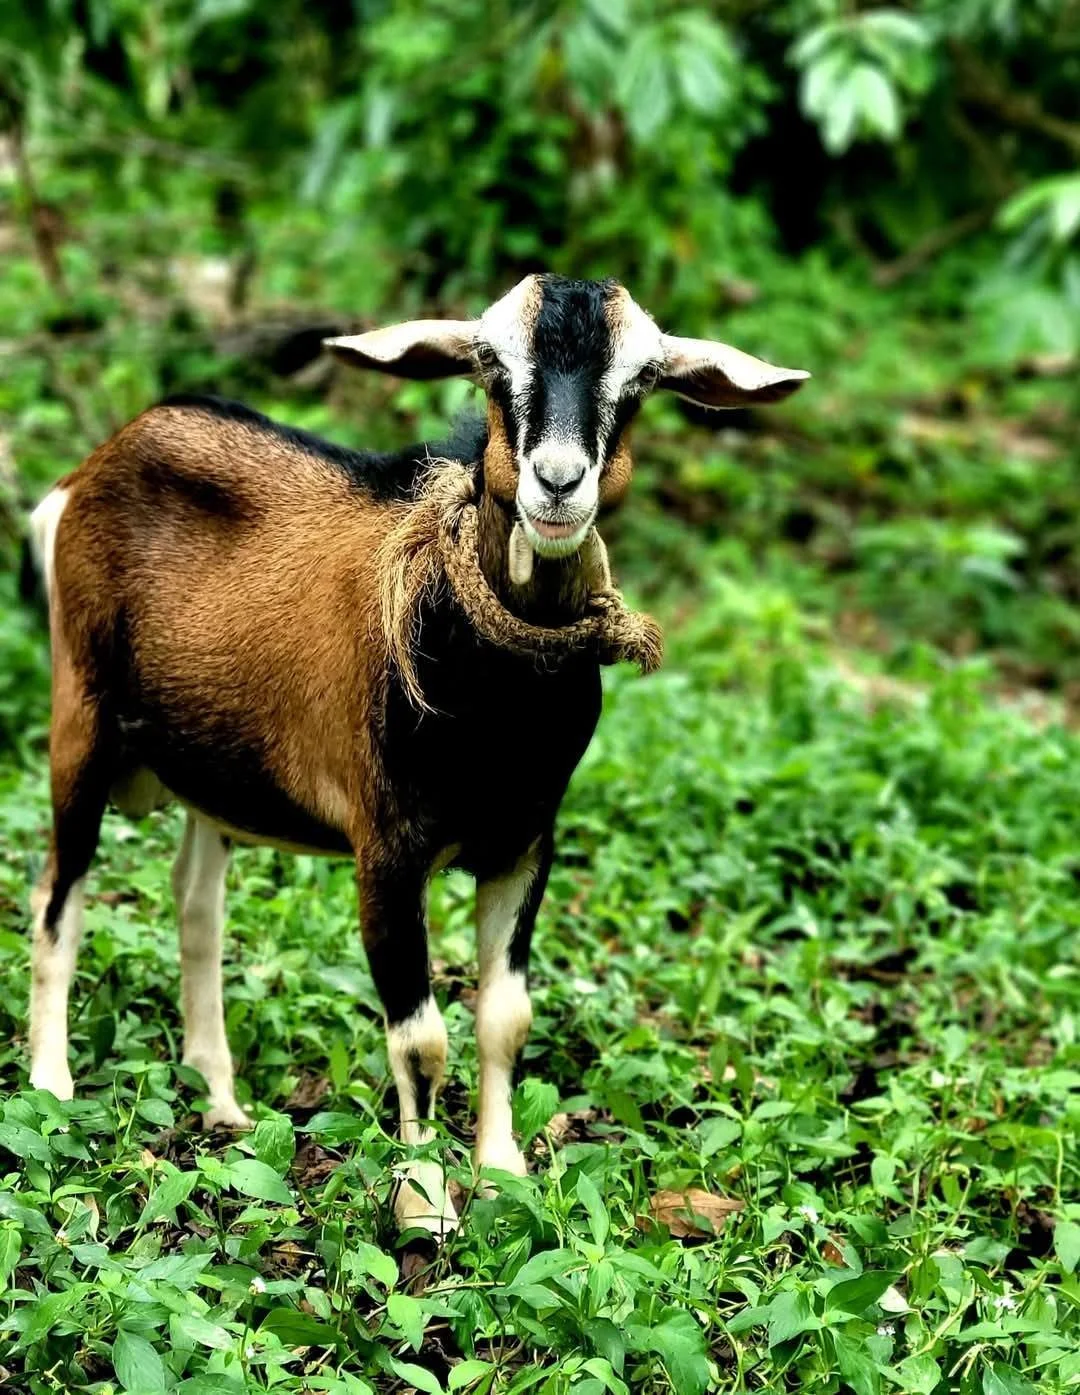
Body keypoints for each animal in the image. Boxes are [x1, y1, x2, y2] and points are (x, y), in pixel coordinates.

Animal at [26, 274, 807, 1235]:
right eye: (491, 364)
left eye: (639, 382)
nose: (558, 483)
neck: (495, 709)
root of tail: (87, 473)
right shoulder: (387, 850)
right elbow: (421, 1038)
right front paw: (425, 1205)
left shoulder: (525, 842)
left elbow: (506, 1016)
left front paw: (504, 1171)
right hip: (81, 715)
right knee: (58, 895)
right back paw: (52, 1083)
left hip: (215, 767)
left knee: (196, 905)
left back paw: (222, 1099)